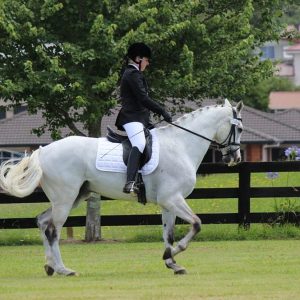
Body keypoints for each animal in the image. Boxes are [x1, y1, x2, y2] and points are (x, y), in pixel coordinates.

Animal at [0, 99, 244, 276]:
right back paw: (63, 269)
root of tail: (43, 151)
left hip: (74, 196)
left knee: (42, 222)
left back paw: (50, 266)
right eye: (239, 128)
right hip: (65, 198)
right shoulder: (172, 199)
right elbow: (196, 224)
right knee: (52, 230)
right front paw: (172, 255)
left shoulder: (168, 203)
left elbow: (169, 234)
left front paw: (171, 262)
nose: (236, 158)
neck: (181, 145)